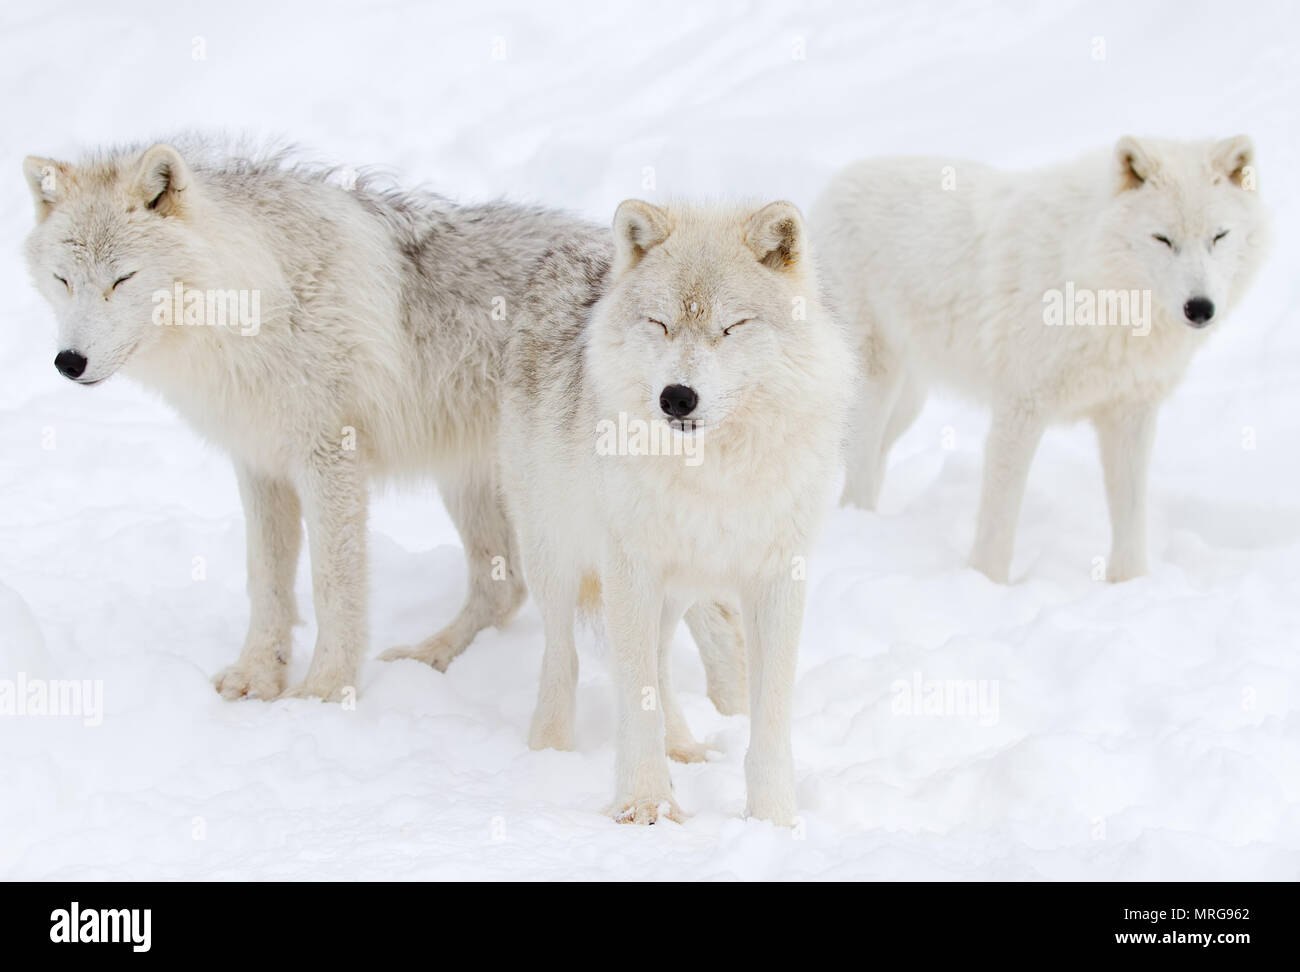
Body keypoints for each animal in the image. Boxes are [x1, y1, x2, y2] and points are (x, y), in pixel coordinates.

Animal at [21, 139, 745, 707]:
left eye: (122, 279)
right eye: (63, 279)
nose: (68, 362)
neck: (254, 301)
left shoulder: (329, 458)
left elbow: (332, 585)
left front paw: (321, 693)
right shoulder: (259, 465)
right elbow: (266, 583)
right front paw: (258, 679)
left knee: (713, 609)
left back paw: (727, 716)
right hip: (480, 485)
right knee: (503, 589)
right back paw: (431, 657)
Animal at [500, 200, 854, 824]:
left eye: (731, 327)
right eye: (659, 324)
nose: (677, 397)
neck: (712, 471)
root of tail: (565, 251)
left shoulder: (777, 575)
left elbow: (768, 712)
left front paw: (772, 820)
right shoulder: (630, 566)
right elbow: (632, 695)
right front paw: (645, 806)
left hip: (678, 589)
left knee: (659, 663)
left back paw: (684, 746)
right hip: (557, 556)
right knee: (564, 655)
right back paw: (550, 750)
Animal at [811, 136, 1270, 583]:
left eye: (1219, 237)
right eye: (1163, 239)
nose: (1200, 308)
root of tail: (833, 187)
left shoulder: (1130, 414)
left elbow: (1131, 514)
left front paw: (1131, 583)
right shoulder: (1020, 408)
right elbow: (999, 519)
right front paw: (985, 586)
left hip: (908, 404)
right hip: (876, 387)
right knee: (858, 470)